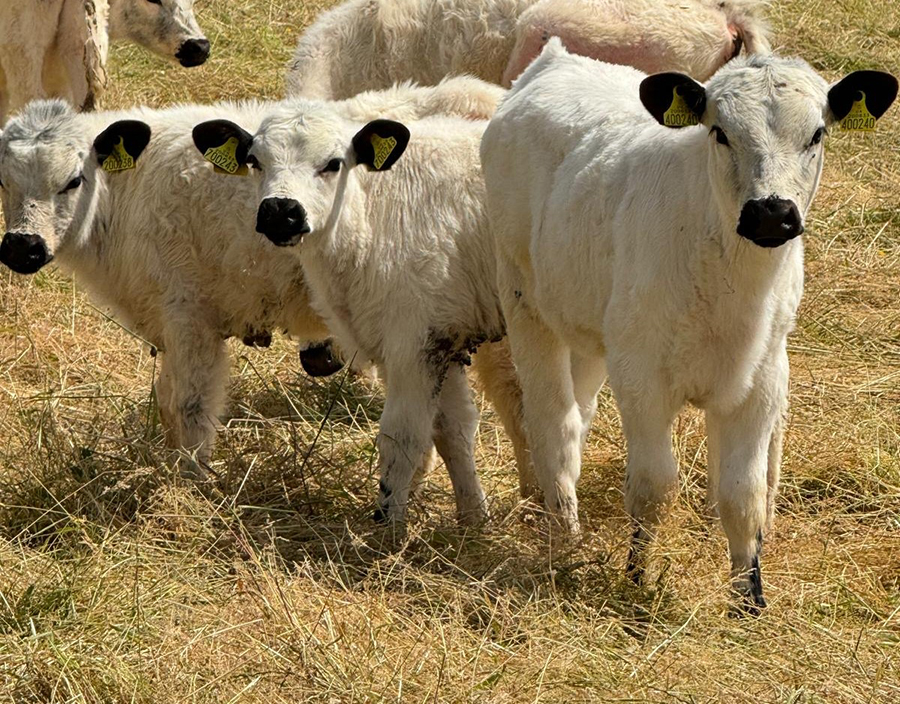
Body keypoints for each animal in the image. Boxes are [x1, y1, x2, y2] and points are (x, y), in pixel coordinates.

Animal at [0, 75, 516, 478]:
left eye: (74, 180)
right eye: (2, 182)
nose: (23, 247)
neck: (128, 199)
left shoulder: (191, 316)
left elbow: (190, 409)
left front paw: (189, 487)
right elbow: (166, 402)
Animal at [190, 103, 512, 524]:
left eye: (333, 163)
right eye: (255, 160)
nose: (280, 212)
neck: (370, 217)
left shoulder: (412, 342)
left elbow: (401, 438)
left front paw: (389, 525)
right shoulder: (442, 334)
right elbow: (452, 431)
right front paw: (473, 519)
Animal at [486, 38, 900, 612]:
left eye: (817, 133)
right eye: (719, 131)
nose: (771, 213)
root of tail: (555, 60)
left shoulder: (763, 379)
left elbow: (743, 494)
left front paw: (749, 596)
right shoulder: (641, 376)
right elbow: (654, 486)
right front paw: (637, 578)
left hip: (588, 328)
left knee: (578, 415)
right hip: (524, 301)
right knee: (553, 422)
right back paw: (565, 535)